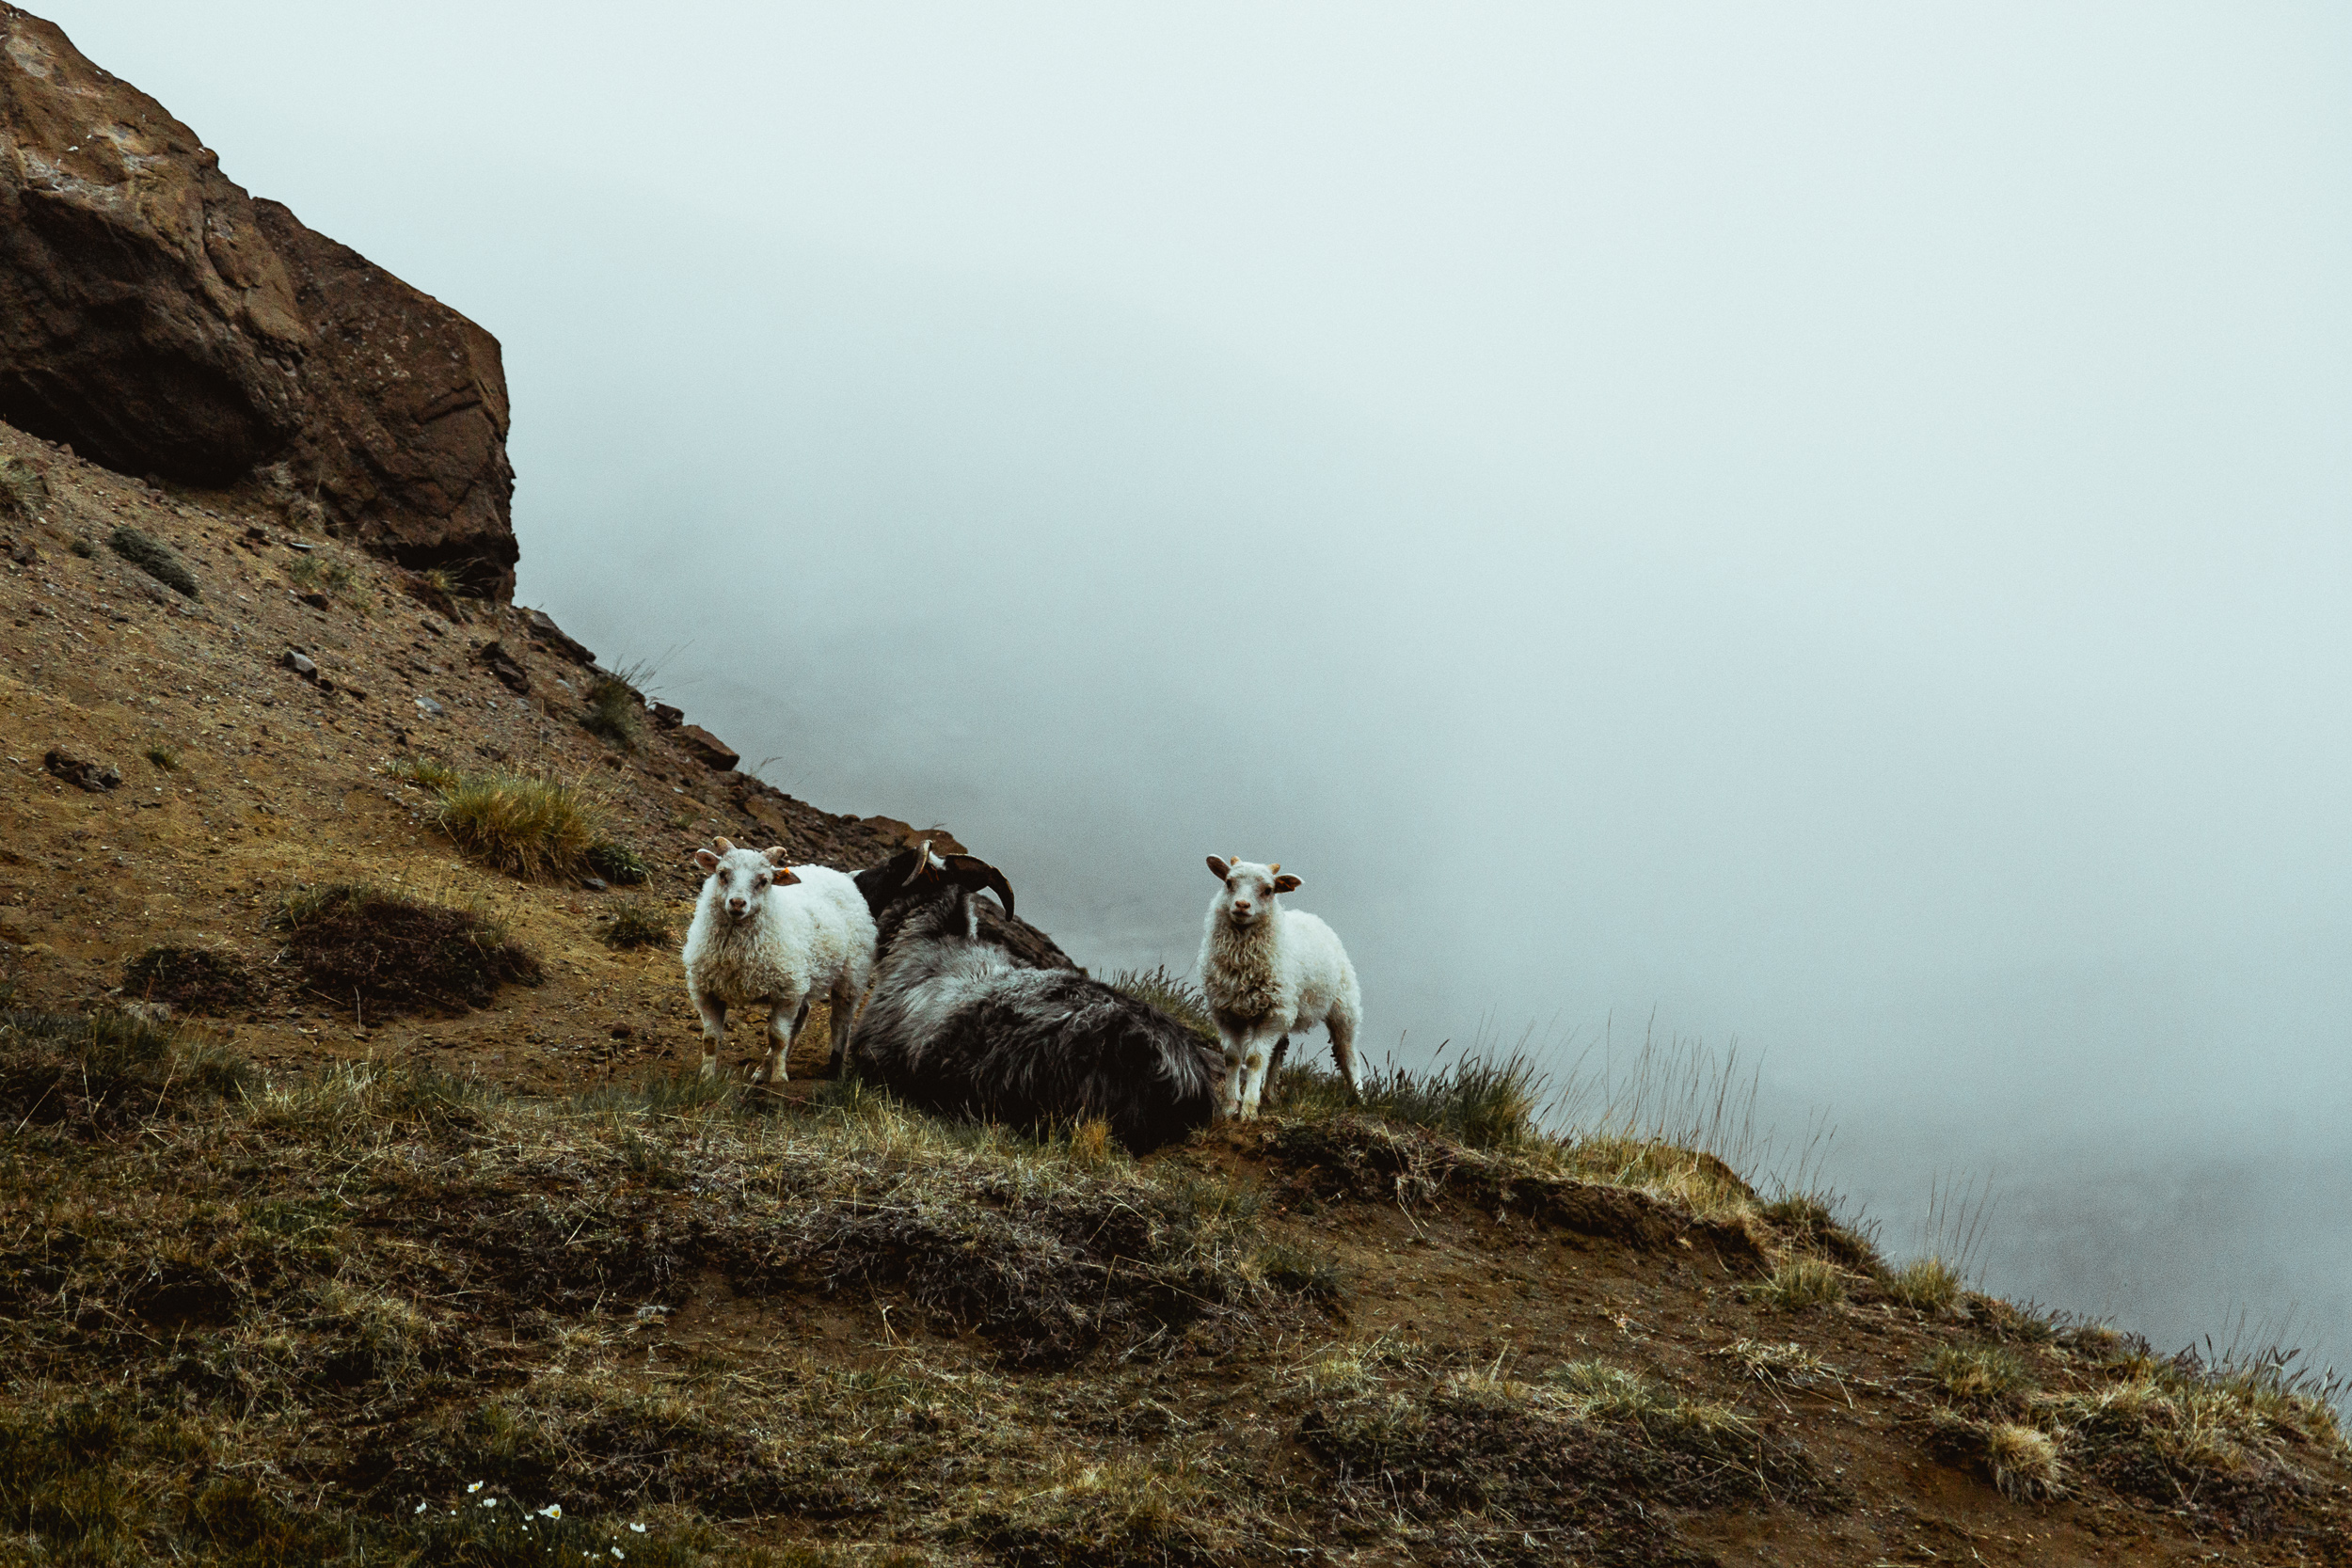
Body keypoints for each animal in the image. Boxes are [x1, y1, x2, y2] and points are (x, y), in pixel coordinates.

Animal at [687, 841, 880, 1085]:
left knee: (840, 1022)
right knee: (801, 1016)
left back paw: (835, 1071)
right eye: (722, 874)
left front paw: (779, 1079)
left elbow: (777, 1037)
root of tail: (837, 874)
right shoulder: (706, 992)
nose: (737, 903)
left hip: (851, 974)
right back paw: (763, 1071)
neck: (737, 954)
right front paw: (705, 1078)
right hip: (803, 977)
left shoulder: (787, 993)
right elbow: (710, 1040)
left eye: (764, 881)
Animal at [1195, 850, 1364, 1123]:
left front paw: (1248, 1110)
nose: (1242, 905)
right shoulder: (1226, 1011)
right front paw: (1230, 1106)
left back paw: (1359, 1096)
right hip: (1286, 1007)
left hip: (1342, 1006)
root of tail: (1311, 916)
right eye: (1229, 882)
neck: (1242, 964)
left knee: (1347, 1052)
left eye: (1268, 890)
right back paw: (1269, 1093)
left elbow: (1254, 1059)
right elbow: (1232, 1057)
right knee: (1279, 1048)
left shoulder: (1273, 1013)